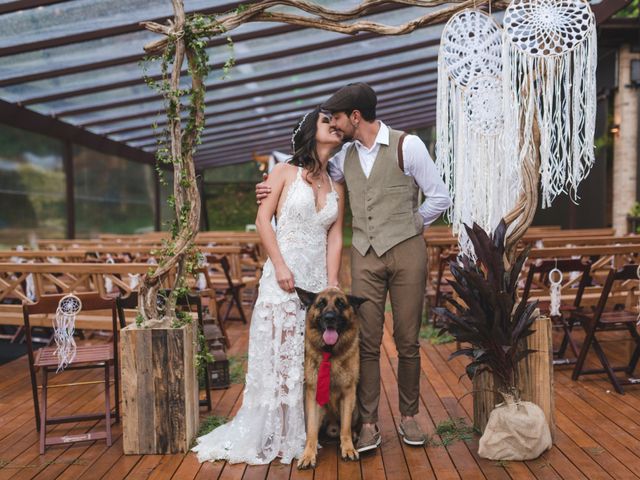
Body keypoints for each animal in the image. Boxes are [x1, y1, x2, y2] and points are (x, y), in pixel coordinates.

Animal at [294, 286, 364, 470]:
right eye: (321, 304)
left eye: (340, 304)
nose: (330, 318)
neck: (330, 353)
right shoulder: (313, 396)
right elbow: (311, 431)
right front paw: (308, 454)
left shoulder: (348, 394)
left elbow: (345, 428)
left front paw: (348, 448)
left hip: (355, 408)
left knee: (349, 427)